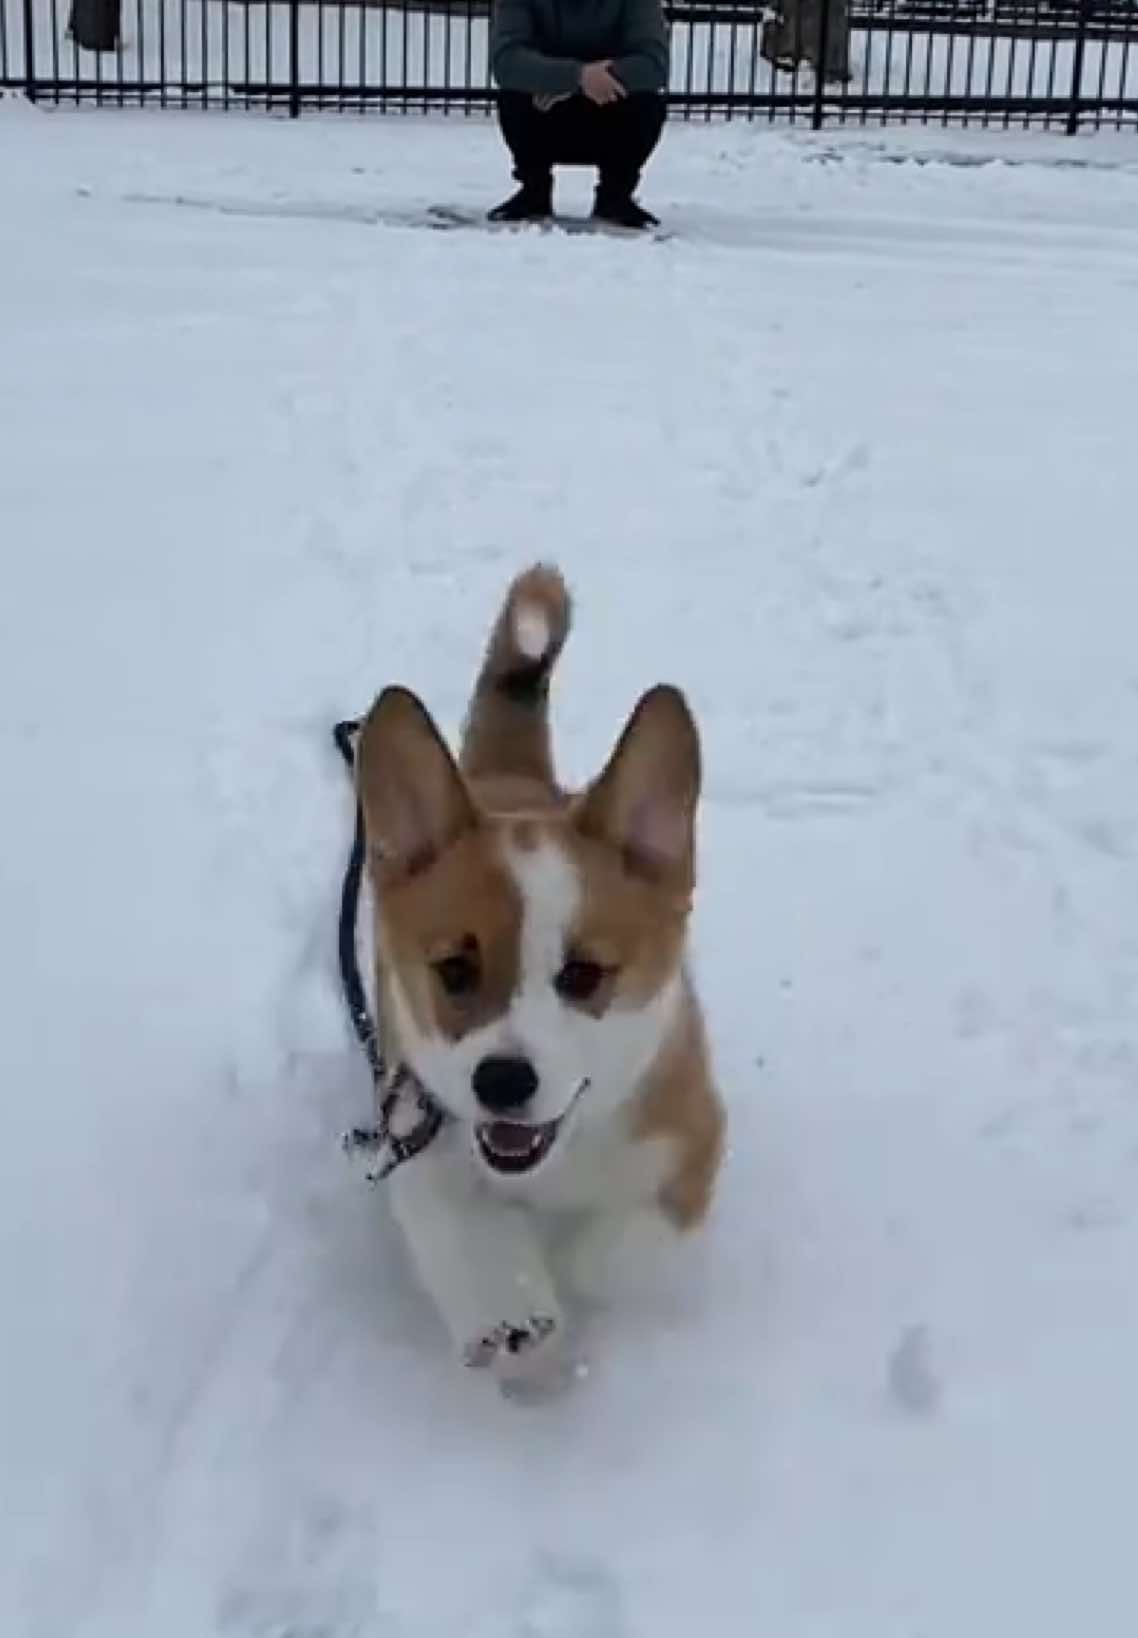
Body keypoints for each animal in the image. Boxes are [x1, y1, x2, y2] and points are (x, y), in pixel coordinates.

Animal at [360, 570, 727, 1389]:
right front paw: (516, 1312)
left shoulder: (690, 1138)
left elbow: (613, 1254)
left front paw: (570, 1276)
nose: (502, 1082)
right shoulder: (419, 1121)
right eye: (455, 968)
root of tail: (509, 775)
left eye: (584, 973)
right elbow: (465, 1232)